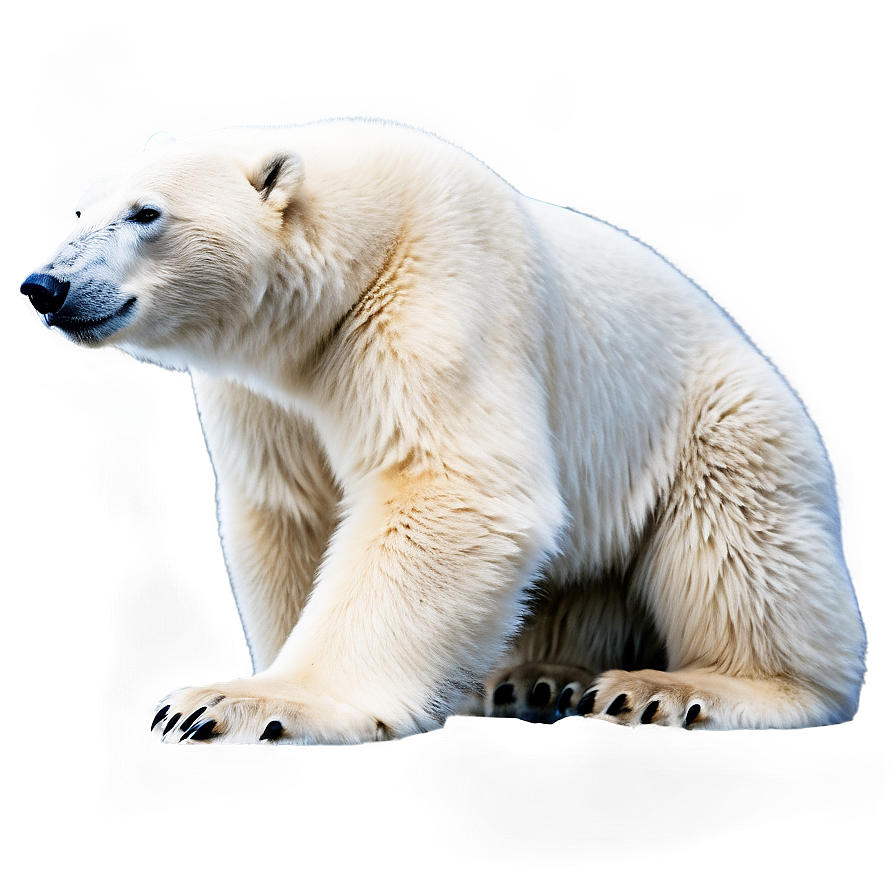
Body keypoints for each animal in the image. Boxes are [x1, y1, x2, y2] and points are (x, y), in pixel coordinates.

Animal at [21, 120, 865, 744]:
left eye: (146, 214)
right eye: (80, 210)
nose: (45, 285)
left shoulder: (440, 290)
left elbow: (449, 489)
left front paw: (239, 703)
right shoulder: (268, 389)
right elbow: (289, 510)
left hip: (722, 424)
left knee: (736, 545)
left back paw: (676, 687)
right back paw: (537, 677)